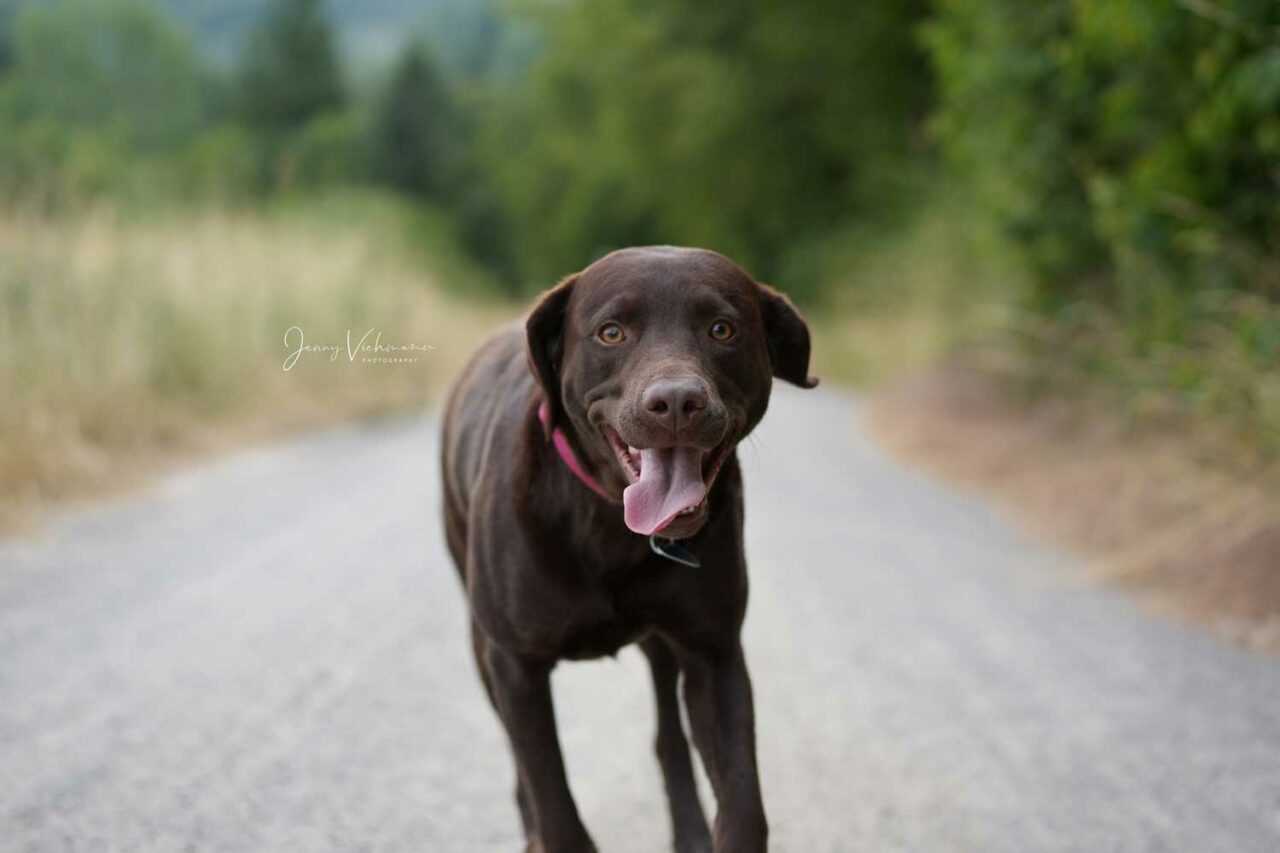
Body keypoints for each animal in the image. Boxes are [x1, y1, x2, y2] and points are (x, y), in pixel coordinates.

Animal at [445, 242, 814, 845]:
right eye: (611, 332)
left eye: (722, 329)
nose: (677, 402)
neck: (608, 524)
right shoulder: (516, 665)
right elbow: (552, 799)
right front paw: (546, 827)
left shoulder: (714, 654)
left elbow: (742, 806)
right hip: (483, 642)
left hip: (663, 645)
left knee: (669, 737)